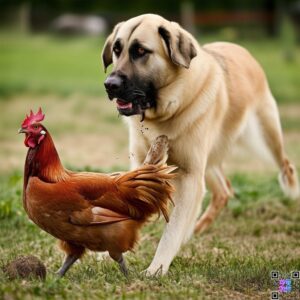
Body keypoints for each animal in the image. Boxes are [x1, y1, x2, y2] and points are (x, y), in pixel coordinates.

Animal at [101, 15, 300, 276]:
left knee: (285, 164)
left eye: (141, 51)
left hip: (265, 138)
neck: (166, 111)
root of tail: (239, 48)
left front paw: (156, 268)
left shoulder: (190, 175)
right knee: (224, 190)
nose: (109, 84)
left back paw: (291, 190)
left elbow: (171, 231)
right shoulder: (144, 165)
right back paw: (195, 229)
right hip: (210, 159)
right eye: (117, 49)